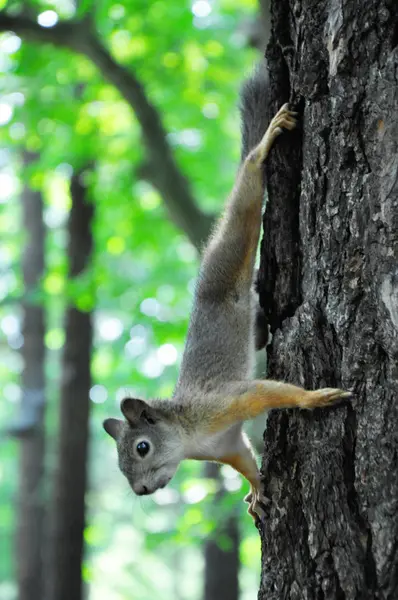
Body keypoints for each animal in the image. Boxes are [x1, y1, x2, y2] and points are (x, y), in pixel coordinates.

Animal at [102, 68, 352, 524]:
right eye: (120, 462)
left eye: (142, 447)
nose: (142, 490)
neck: (191, 437)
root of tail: (204, 277)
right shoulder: (226, 446)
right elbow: (245, 461)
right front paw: (255, 490)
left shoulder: (226, 402)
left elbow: (274, 392)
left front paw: (315, 398)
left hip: (232, 245)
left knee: (246, 194)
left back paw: (264, 144)